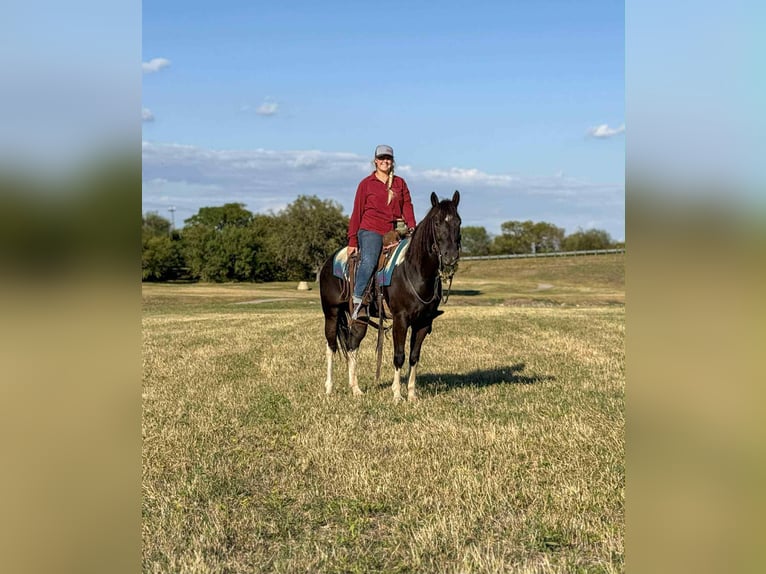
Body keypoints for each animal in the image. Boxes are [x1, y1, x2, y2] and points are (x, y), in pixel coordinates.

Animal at [319, 190, 461, 401]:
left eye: (458, 222)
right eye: (436, 223)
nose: (451, 256)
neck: (414, 271)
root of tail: (329, 261)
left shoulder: (423, 322)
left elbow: (413, 357)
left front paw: (412, 395)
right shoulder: (400, 320)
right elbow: (399, 355)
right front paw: (397, 395)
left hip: (360, 317)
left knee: (352, 345)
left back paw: (356, 389)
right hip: (332, 313)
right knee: (331, 346)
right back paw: (329, 388)